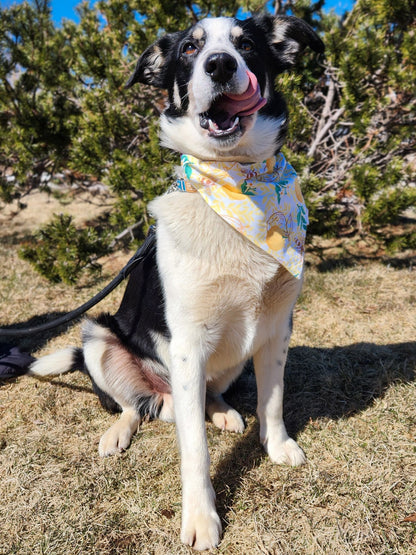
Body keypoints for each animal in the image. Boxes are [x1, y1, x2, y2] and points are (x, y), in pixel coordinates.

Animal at [27, 13, 324, 552]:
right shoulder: (186, 344)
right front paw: (202, 519)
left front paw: (278, 445)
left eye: (247, 44)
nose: (221, 64)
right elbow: (196, 452)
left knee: (203, 396)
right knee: (133, 405)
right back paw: (119, 431)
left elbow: (272, 398)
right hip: (99, 337)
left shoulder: (276, 327)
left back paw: (222, 411)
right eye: (189, 48)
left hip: (228, 358)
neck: (234, 180)